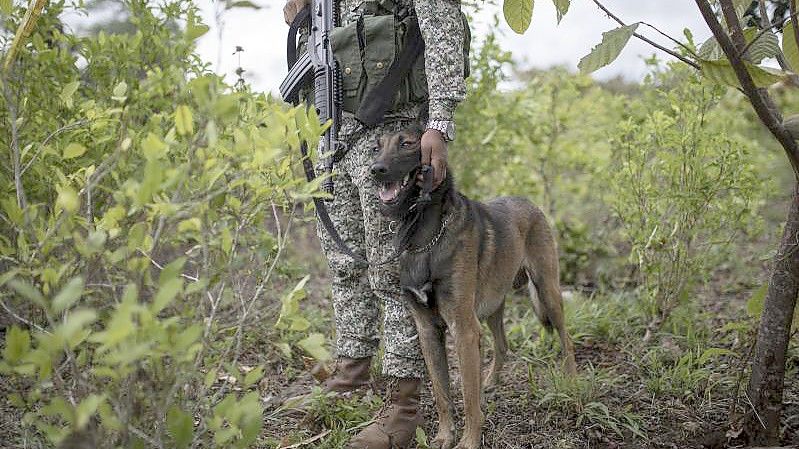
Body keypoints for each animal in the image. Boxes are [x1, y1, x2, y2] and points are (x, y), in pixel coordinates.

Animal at [368, 125, 576, 448]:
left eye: (407, 143)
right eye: (375, 148)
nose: (376, 170)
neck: (426, 239)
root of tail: (530, 203)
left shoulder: (463, 329)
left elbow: (466, 396)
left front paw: (468, 441)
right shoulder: (428, 331)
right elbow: (442, 393)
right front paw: (444, 435)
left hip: (547, 291)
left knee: (567, 340)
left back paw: (573, 386)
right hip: (491, 307)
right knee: (502, 345)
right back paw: (489, 382)